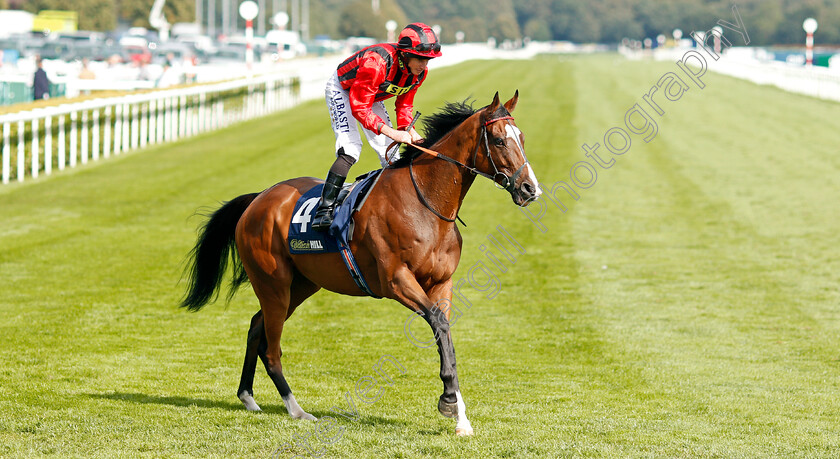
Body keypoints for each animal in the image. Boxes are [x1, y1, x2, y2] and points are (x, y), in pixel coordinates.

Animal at [180, 91, 540, 436]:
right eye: (498, 140)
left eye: (522, 137)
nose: (530, 189)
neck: (426, 204)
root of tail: (257, 199)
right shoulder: (396, 280)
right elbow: (438, 324)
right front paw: (449, 401)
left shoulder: (442, 283)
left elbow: (445, 334)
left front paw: (460, 418)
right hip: (273, 284)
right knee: (271, 347)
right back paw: (296, 409)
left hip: (301, 285)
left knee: (257, 326)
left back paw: (248, 397)